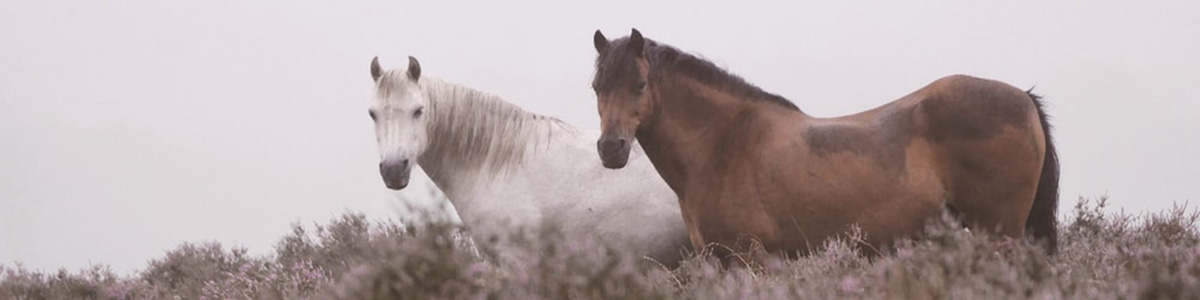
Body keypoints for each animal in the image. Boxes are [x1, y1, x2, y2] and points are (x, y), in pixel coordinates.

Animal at [590, 29, 1060, 261]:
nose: (611, 148)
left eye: (640, 83)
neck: (722, 143)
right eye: (597, 86)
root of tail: (1023, 98)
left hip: (1001, 234)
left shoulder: (749, 259)